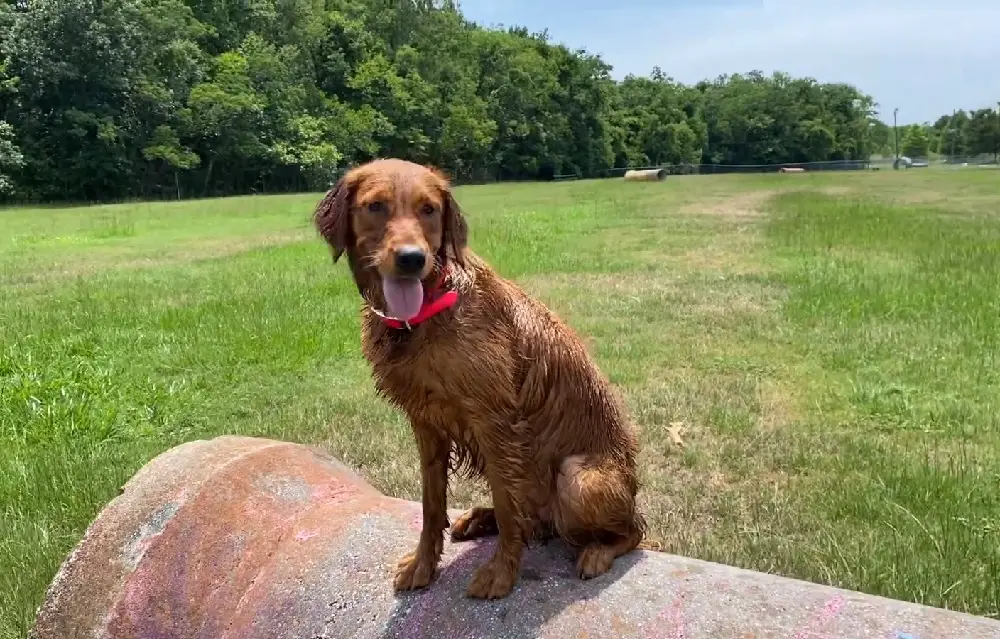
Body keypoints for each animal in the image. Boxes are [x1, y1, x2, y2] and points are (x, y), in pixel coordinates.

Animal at [312, 159, 644, 600]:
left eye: (429, 209)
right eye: (375, 206)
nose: (412, 259)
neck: (428, 312)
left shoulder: (495, 422)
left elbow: (507, 506)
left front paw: (501, 572)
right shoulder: (426, 422)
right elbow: (431, 504)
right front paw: (422, 565)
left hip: (578, 478)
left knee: (632, 531)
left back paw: (596, 552)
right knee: (536, 521)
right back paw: (479, 519)